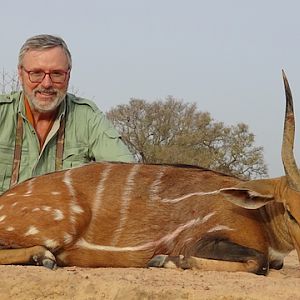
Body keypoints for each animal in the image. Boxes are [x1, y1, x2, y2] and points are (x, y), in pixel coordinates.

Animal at [0, 72, 298, 274]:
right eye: (291, 212)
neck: (260, 217)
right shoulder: (196, 240)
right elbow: (260, 263)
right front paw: (164, 260)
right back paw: (44, 256)